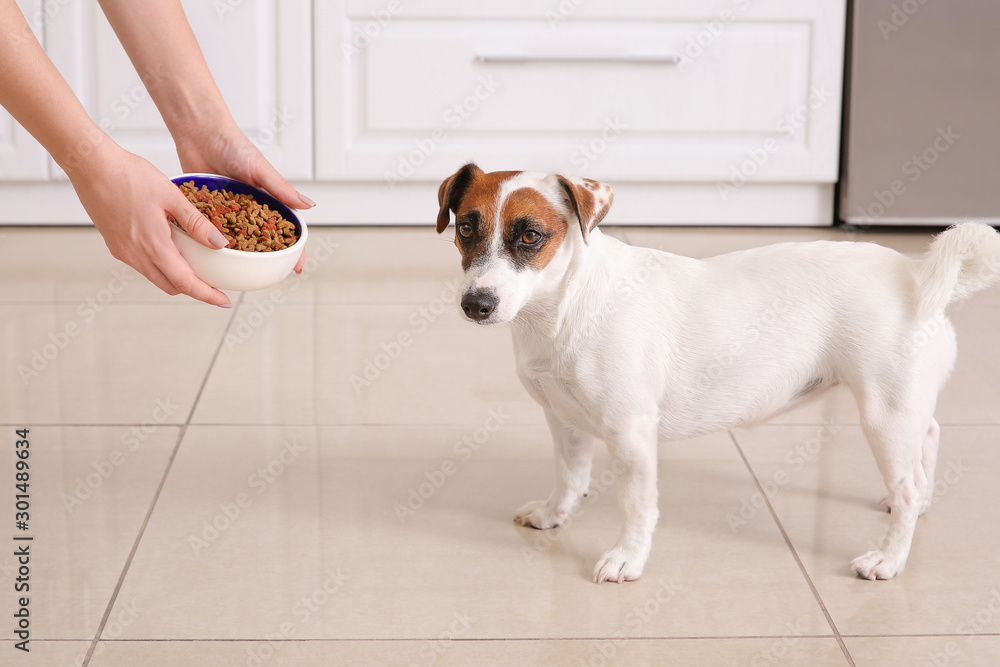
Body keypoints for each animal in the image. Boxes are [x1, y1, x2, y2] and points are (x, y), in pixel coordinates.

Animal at [436, 163, 1000, 584]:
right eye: (465, 228)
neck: (562, 306)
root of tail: (915, 276)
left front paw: (628, 558)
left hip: (884, 416)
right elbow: (569, 476)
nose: (476, 304)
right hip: (904, 413)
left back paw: (890, 557)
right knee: (928, 441)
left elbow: (636, 506)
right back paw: (920, 504)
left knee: (908, 484)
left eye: (531, 236)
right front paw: (555, 515)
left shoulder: (631, 435)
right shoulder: (564, 421)